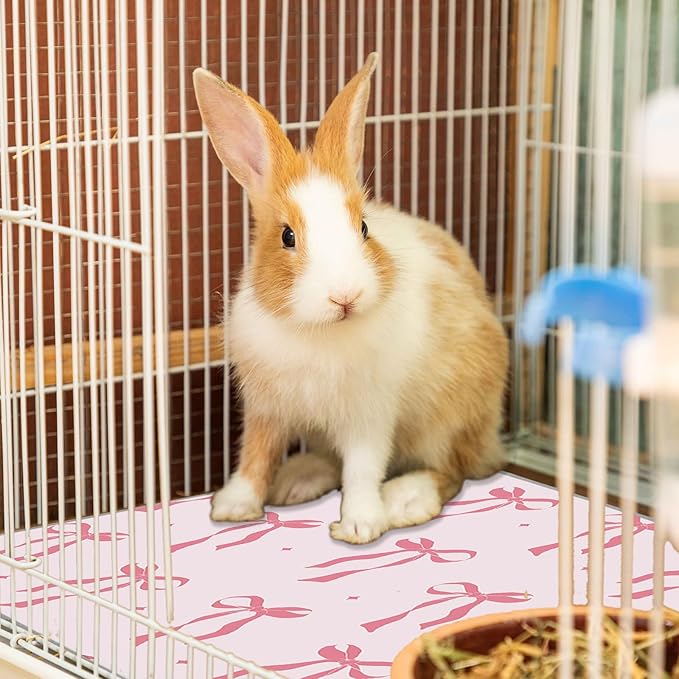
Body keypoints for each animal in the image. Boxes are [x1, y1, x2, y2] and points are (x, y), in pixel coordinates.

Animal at [192, 52, 509, 545]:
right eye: (286, 236)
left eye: (363, 227)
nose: (346, 296)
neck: (317, 330)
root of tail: (492, 438)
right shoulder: (267, 409)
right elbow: (255, 454)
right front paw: (232, 507)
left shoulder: (369, 414)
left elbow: (362, 469)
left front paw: (361, 525)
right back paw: (296, 480)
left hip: (450, 420)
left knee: (452, 471)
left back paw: (404, 500)